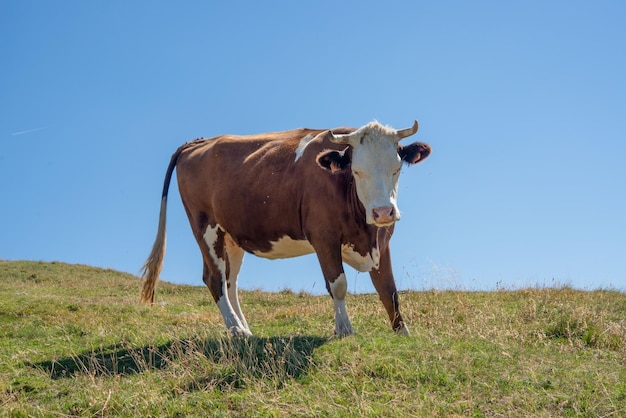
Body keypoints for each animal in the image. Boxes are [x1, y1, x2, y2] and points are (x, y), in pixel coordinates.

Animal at [140, 120, 428, 336]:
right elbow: (338, 285)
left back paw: (246, 329)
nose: (383, 212)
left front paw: (402, 333)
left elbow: (389, 290)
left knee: (230, 281)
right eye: (356, 171)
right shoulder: (324, 237)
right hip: (205, 227)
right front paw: (344, 330)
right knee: (214, 278)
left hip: (231, 236)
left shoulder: (382, 242)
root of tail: (199, 141)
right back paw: (236, 330)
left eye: (396, 168)